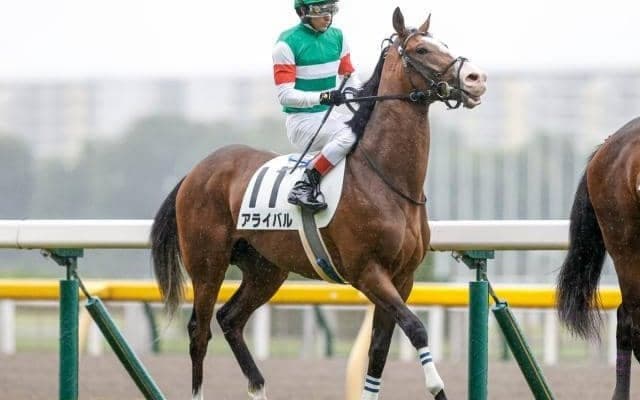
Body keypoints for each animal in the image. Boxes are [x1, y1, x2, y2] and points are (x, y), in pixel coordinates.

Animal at [151, 7, 487, 400]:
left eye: (443, 43)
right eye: (421, 49)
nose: (476, 78)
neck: (386, 179)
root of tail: (195, 172)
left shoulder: (402, 277)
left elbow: (379, 350)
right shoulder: (368, 272)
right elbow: (416, 327)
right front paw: (436, 386)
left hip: (266, 268)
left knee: (229, 319)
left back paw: (259, 387)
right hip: (208, 263)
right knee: (199, 331)